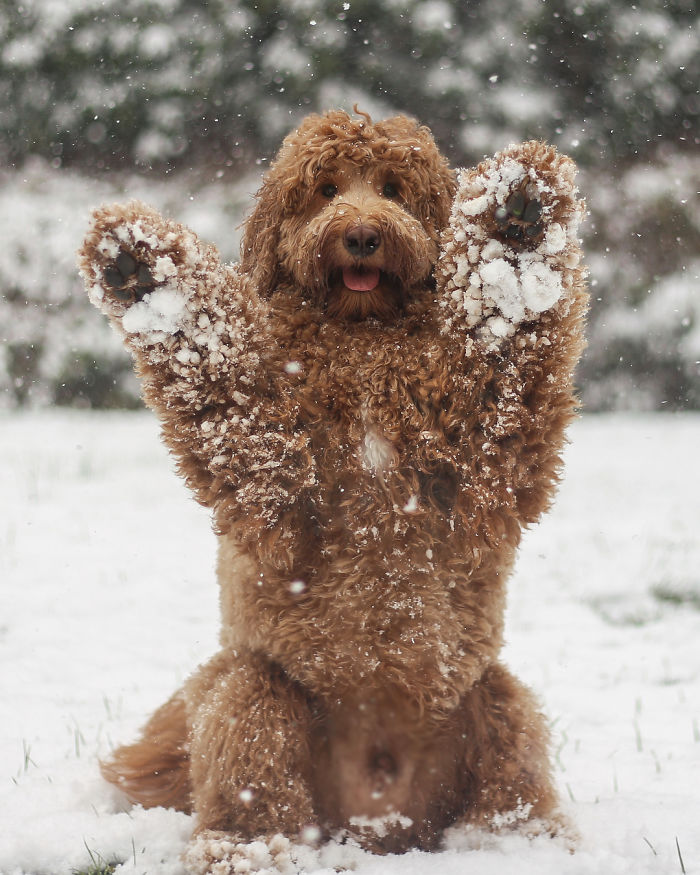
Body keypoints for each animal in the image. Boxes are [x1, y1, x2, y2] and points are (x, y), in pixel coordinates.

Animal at [79, 106, 588, 872]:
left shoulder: (484, 457)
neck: (364, 340)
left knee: (511, 759)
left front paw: (518, 215)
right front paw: (140, 267)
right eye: (323, 189)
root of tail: (375, 826)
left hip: (489, 696)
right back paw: (251, 848)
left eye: (395, 189)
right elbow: (226, 372)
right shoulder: (273, 474)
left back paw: (516, 843)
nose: (362, 234)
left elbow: (505, 343)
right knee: (252, 765)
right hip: (255, 691)